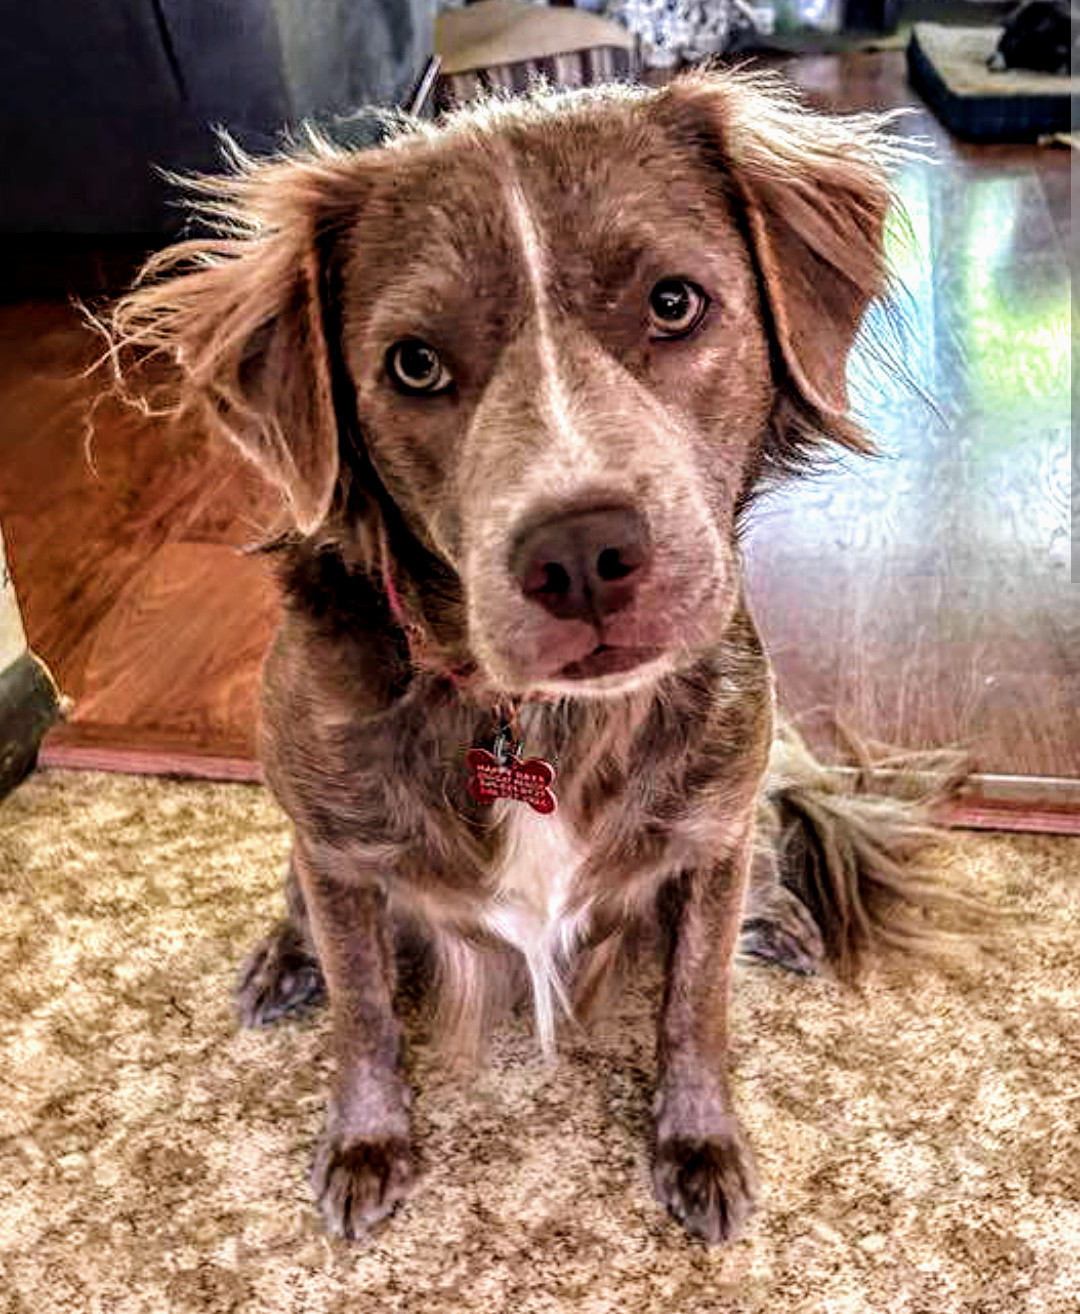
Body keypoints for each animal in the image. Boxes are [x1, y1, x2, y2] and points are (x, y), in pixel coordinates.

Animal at [107, 71, 956, 1240]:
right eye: (414, 365)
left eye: (674, 302)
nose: (582, 556)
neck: (536, 716)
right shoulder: (339, 853)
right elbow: (365, 1014)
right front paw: (367, 1139)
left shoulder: (710, 832)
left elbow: (696, 1002)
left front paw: (698, 1139)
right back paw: (286, 958)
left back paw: (780, 914)